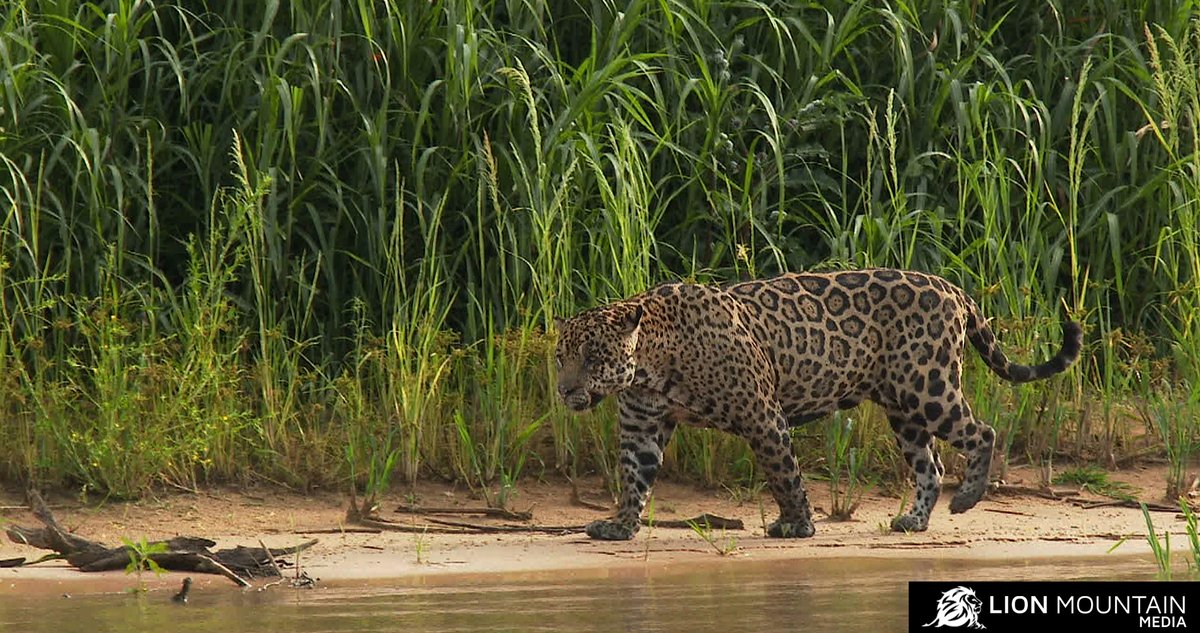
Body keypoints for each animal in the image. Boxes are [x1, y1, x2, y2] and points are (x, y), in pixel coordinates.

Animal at [554, 268, 1083, 540]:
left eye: (594, 356)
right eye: (562, 356)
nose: (563, 390)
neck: (651, 364)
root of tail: (951, 288)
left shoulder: (762, 414)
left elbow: (783, 472)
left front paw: (797, 524)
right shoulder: (641, 425)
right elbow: (633, 478)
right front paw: (620, 525)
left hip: (928, 388)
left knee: (982, 432)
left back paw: (968, 498)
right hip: (902, 407)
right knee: (929, 464)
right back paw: (913, 521)